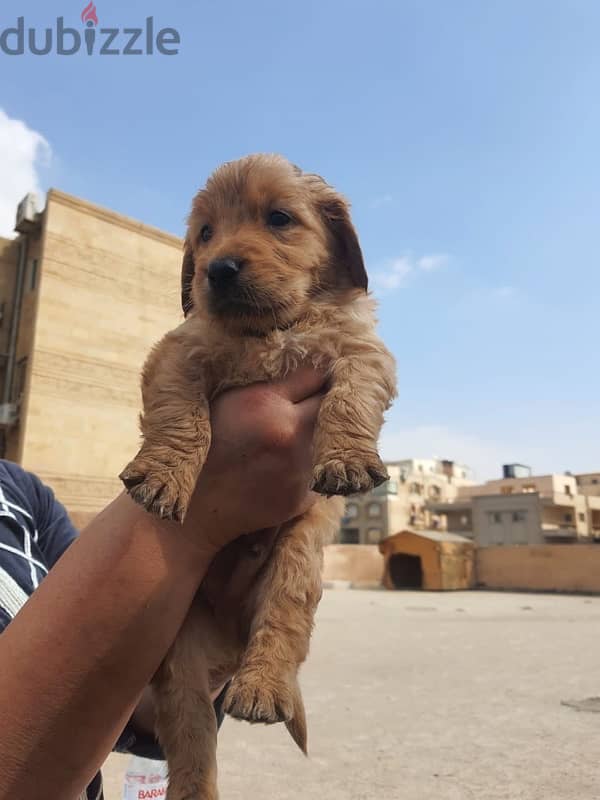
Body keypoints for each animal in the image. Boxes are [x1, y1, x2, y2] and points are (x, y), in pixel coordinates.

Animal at [119, 153, 396, 796]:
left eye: (279, 219)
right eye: (204, 234)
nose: (217, 269)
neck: (272, 329)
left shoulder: (362, 349)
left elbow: (353, 393)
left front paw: (346, 458)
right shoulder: (178, 352)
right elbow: (182, 414)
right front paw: (164, 475)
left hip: (296, 563)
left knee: (284, 620)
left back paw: (263, 687)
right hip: (181, 667)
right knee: (192, 746)